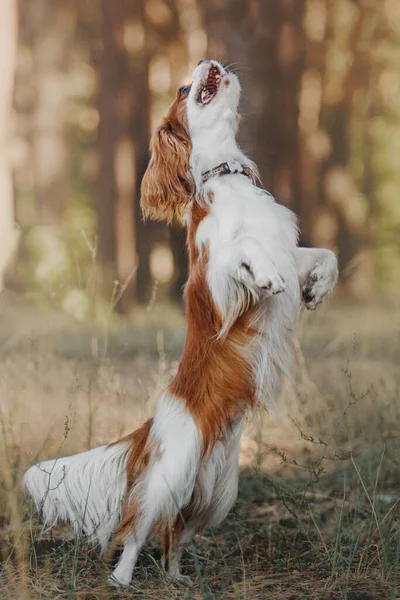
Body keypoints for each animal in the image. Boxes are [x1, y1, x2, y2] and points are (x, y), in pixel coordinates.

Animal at [22, 59, 338, 584]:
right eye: (184, 88)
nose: (211, 61)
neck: (228, 178)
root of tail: (153, 424)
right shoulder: (214, 282)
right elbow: (243, 253)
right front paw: (266, 274)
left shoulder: (287, 246)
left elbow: (321, 254)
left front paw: (318, 287)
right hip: (168, 476)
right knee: (135, 530)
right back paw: (122, 580)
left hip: (215, 492)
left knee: (175, 533)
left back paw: (177, 578)